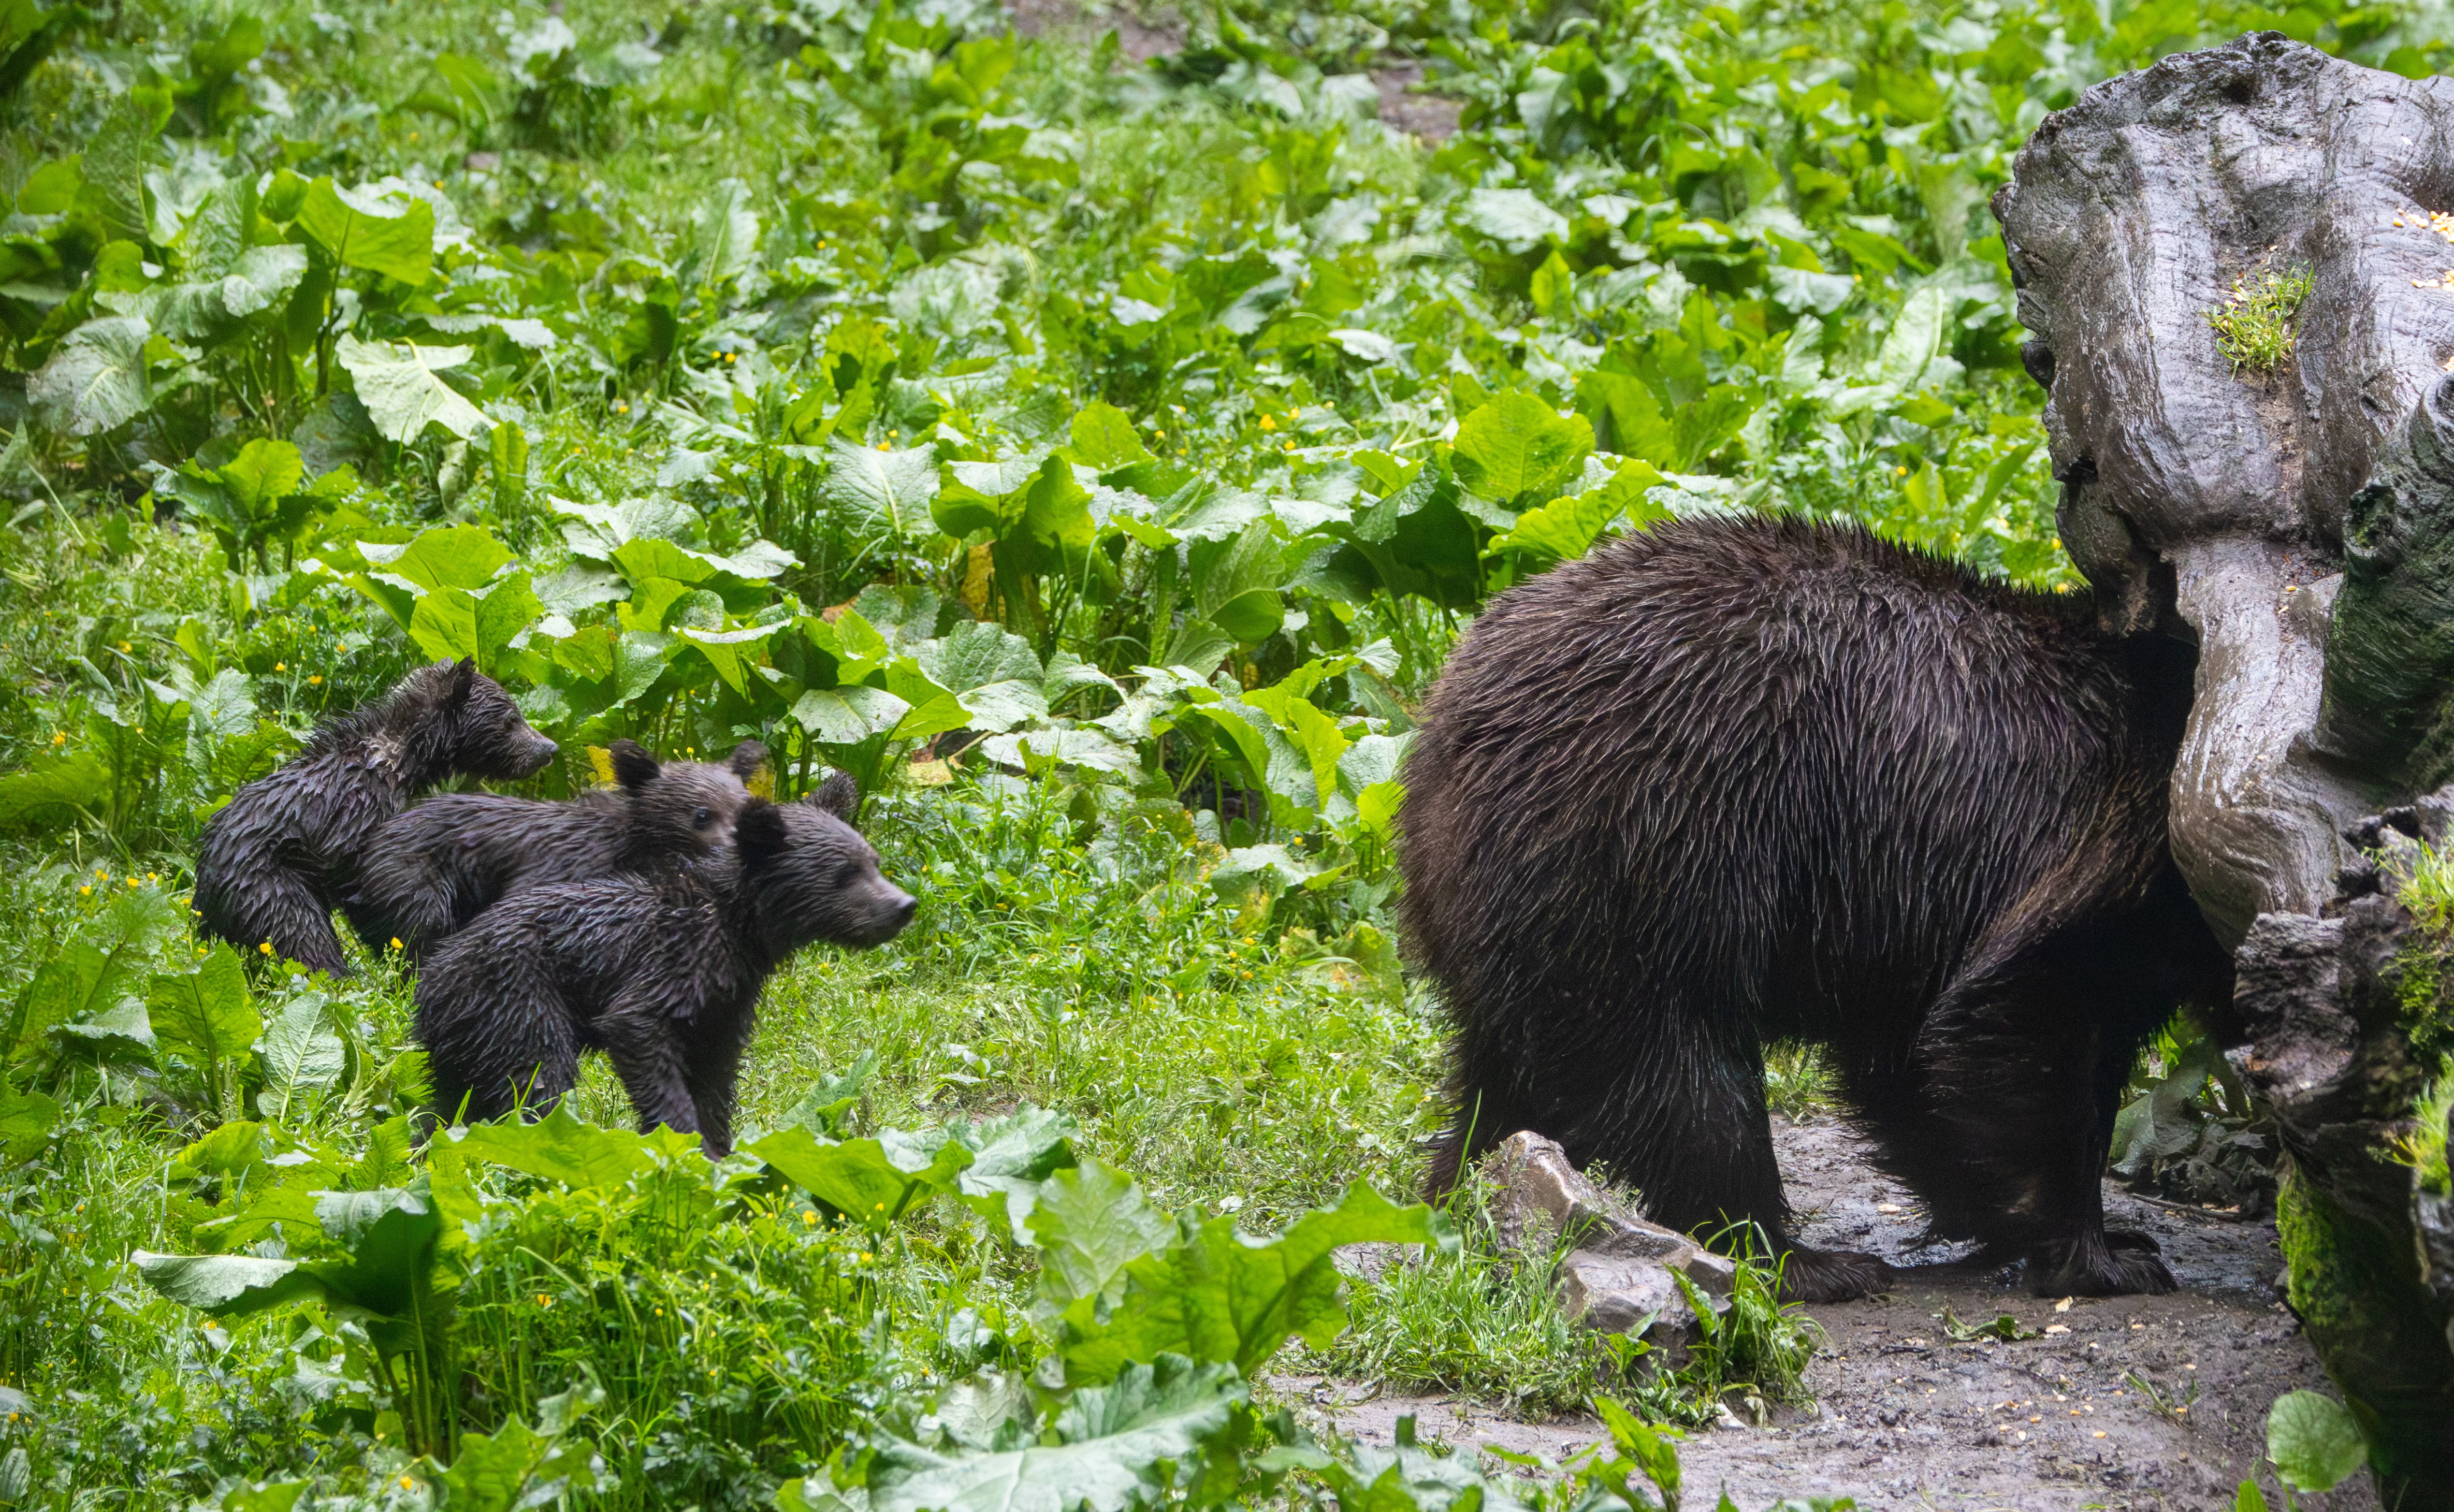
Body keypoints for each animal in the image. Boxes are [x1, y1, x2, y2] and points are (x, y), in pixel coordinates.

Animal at [193, 658, 559, 977]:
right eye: (512, 718)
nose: (549, 748)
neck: (395, 764)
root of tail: (205, 893)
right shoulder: (352, 815)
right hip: (266, 885)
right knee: (302, 935)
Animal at [412, 779, 914, 1157]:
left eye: (873, 860)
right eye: (843, 873)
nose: (903, 906)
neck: (741, 930)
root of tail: (431, 982)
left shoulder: (725, 1003)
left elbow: (715, 1078)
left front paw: (722, 1150)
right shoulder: (672, 964)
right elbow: (640, 1034)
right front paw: (686, 1146)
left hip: (464, 1041)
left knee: (445, 1105)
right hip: (518, 1000)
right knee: (538, 1082)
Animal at [1398, 515, 2233, 1303]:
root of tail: (1448, 721)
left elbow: (1913, 1059)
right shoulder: (2112, 841)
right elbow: (2020, 1016)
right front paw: (2101, 1251)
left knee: (1509, 1072)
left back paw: (1459, 1192)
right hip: (1649, 843)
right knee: (1680, 1072)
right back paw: (1802, 1259)